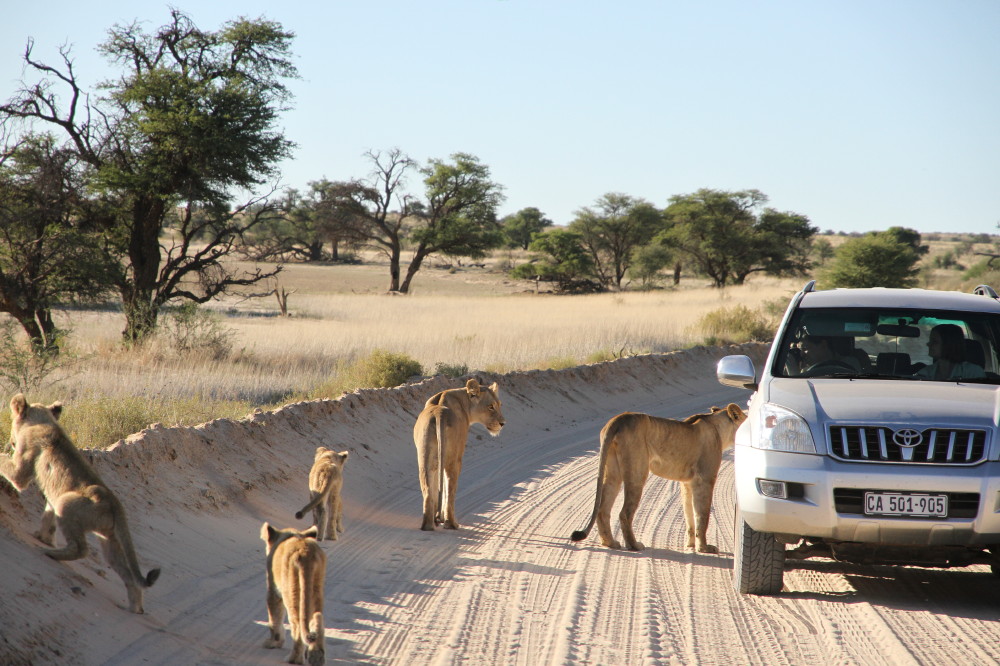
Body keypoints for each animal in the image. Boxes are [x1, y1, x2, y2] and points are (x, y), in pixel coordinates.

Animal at [0, 390, 159, 612]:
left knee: (81, 548)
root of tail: (115, 504)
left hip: (67, 503)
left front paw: (44, 542)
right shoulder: (53, 497)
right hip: (109, 539)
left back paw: (50, 553)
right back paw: (134, 609)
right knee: (127, 575)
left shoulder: (21, 472)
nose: (11, 442)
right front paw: (43, 537)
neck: (42, 421)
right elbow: (48, 517)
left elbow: (6, 464)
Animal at [414, 378, 508, 528]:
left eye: (499, 405)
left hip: (425, 458)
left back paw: (428, 525)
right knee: (450, 491)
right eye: (490, 406)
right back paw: (452, 523)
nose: (503, 423)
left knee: (428, 491)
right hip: (455, 458)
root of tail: (439, 413)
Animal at [576, 402, 748, 552]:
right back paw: (634, 545)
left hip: (612, 471)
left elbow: (689, 514)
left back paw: (610, 543)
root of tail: (618, 419)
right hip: (637, 471)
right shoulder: (705, 479)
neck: (719, 428)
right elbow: (702, 515)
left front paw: (691, 545)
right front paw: (704, 548)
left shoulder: (687, 483)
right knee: (624, 513)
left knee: (603, 509)